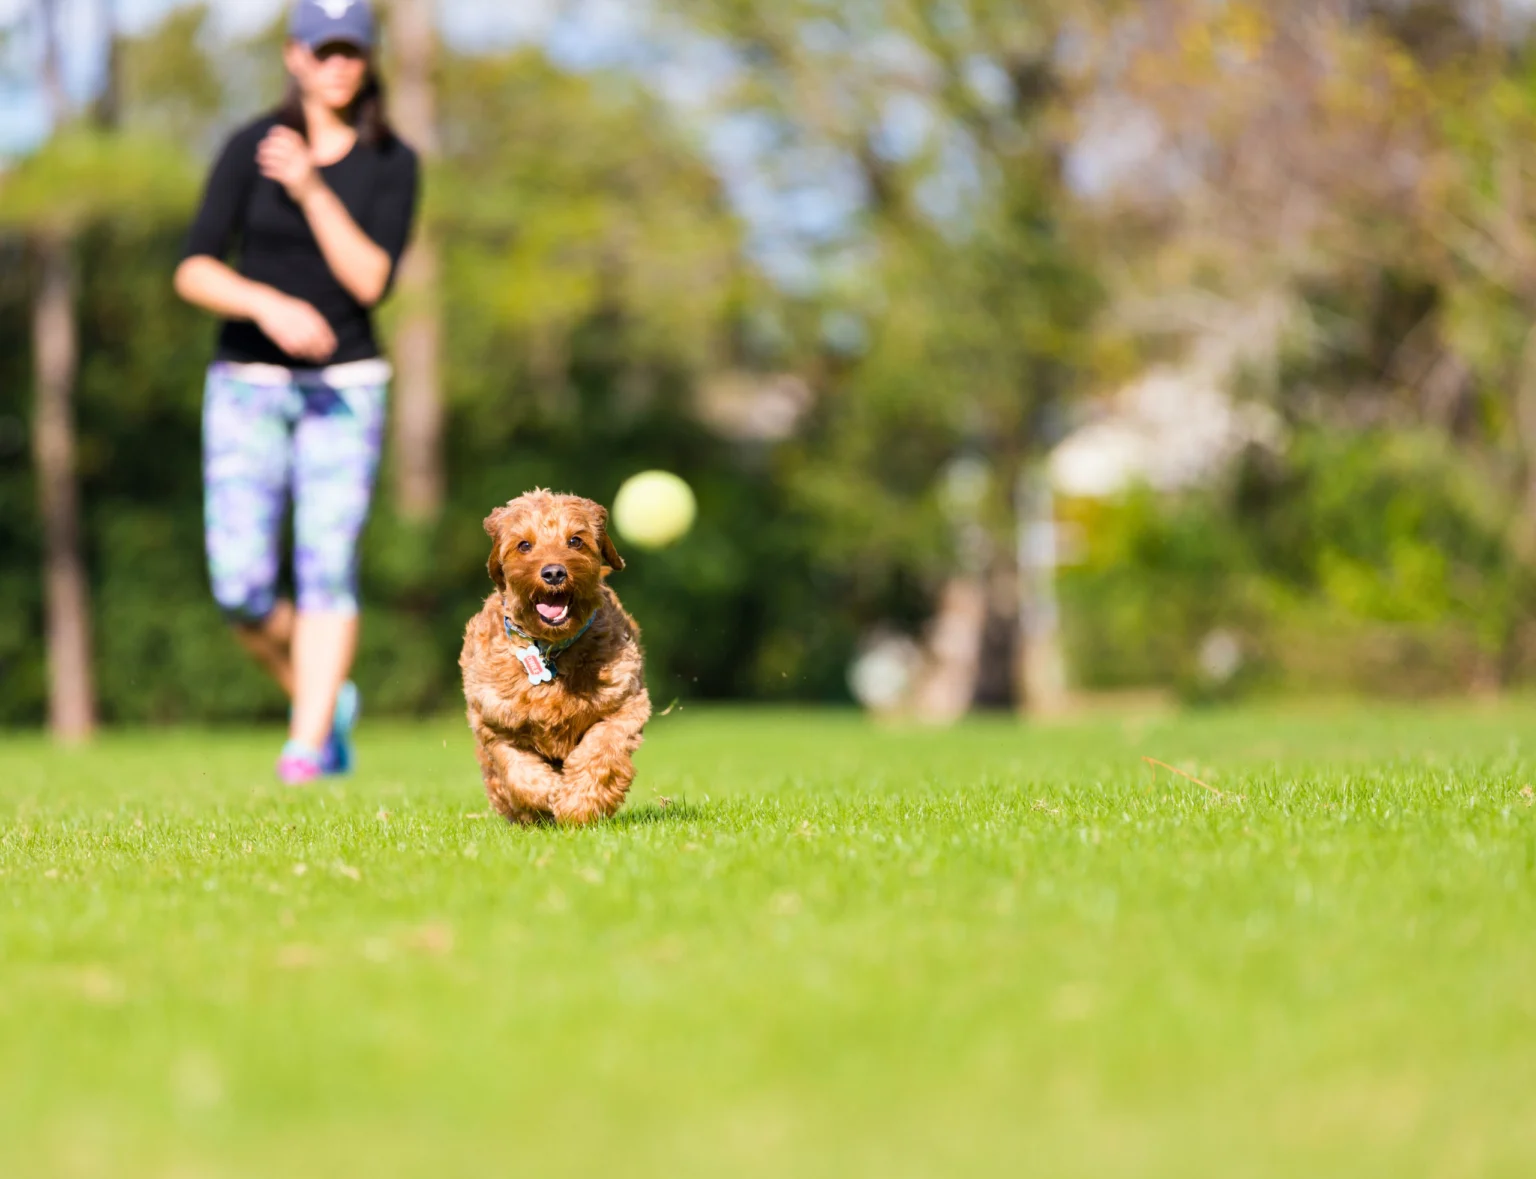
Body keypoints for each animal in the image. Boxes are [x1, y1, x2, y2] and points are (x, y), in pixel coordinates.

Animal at [454, 485, 648, 822]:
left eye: (575, 540)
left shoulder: (626, 705)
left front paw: (578, 804)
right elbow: (518, 773)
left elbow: (599, 752)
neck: (549, 649)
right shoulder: (494, 721)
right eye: (524, 545)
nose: (554, 572)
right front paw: (549, 793)